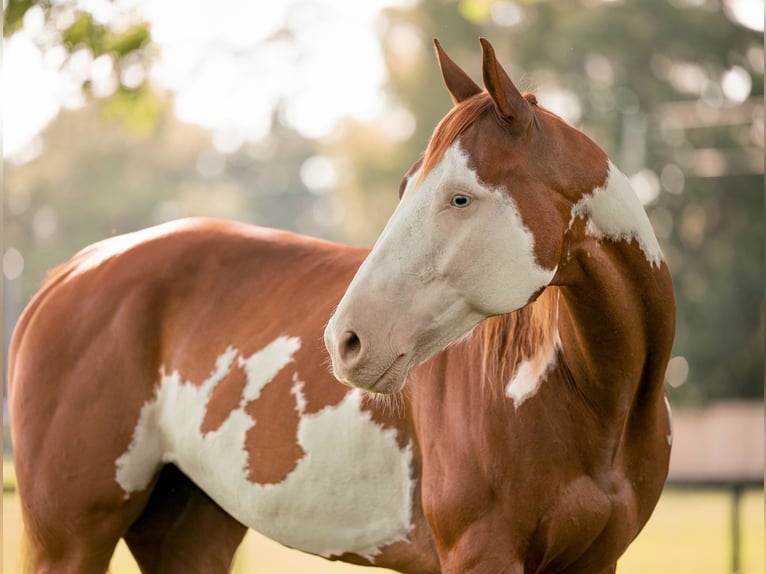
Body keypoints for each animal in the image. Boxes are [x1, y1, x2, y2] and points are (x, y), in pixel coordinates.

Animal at [8, 38, 675, 573]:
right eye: (405, 186)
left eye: (460, 198)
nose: (345, 341)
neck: (591, 395)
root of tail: (73, 272)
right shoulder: (482, 554)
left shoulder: (596, 562)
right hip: (72, 544)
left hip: (189, 532)